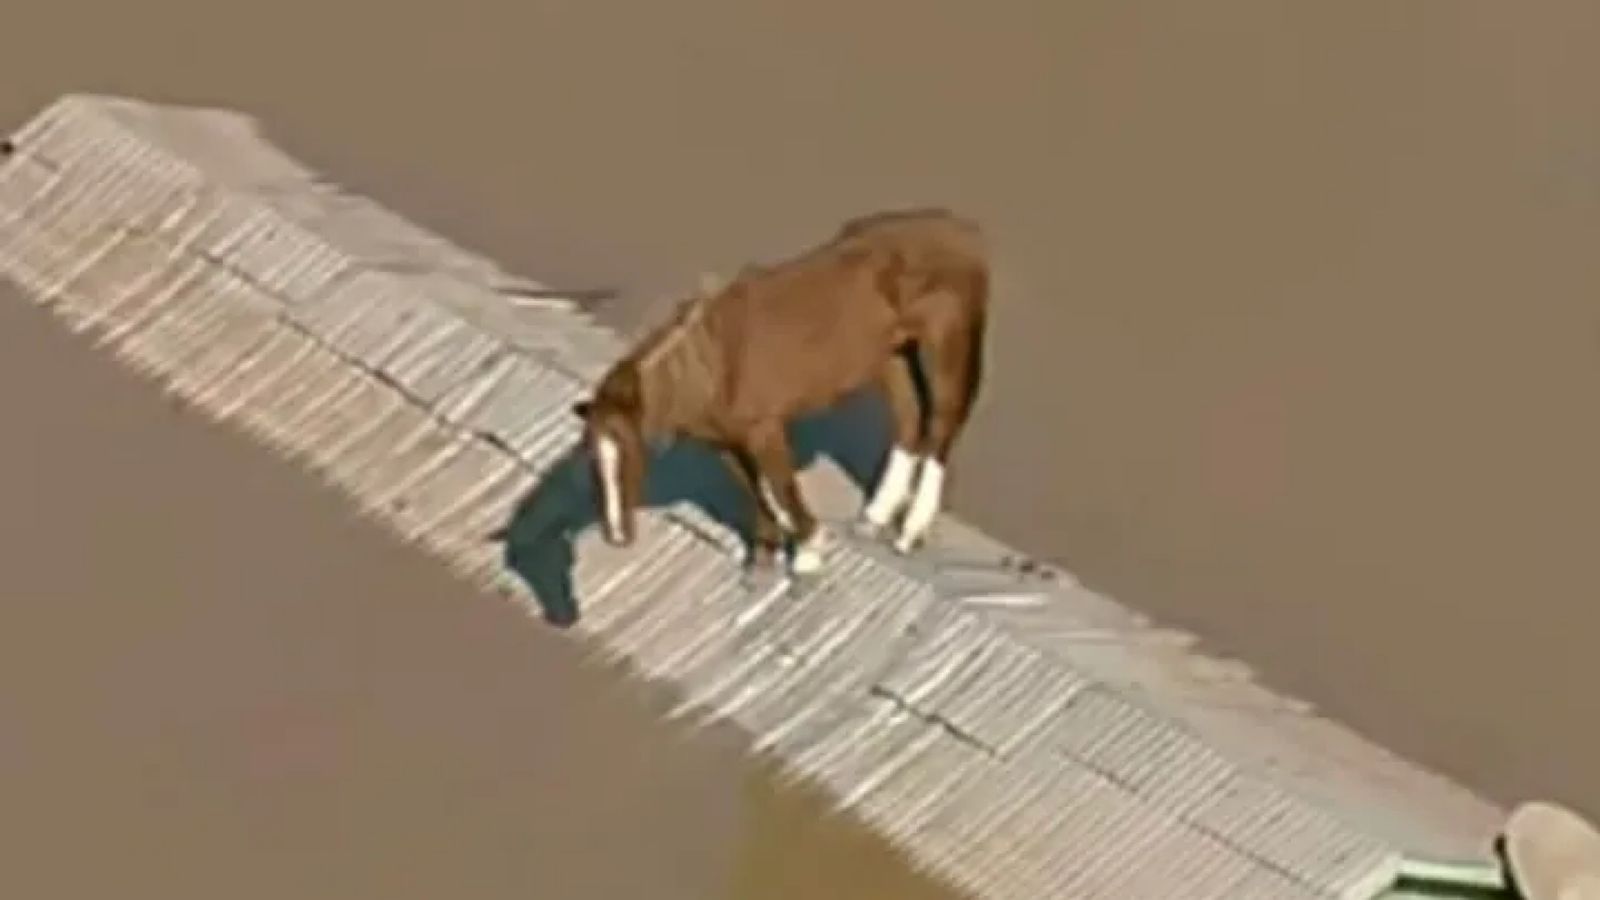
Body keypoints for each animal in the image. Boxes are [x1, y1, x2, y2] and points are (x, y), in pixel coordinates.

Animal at [570, 207, 989, 575]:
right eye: (591, 458)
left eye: (631, 453)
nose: (616, 536)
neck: (712, 364)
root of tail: (963, 230)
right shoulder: (726, 442)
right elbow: (755, 490)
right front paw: (764, 554)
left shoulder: (764, 430)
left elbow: (780, 486)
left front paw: (808, 553)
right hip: (891, 355)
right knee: (910, 418)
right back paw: (874, 517)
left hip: (949, 343)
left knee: (942, 423)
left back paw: (910, 531)